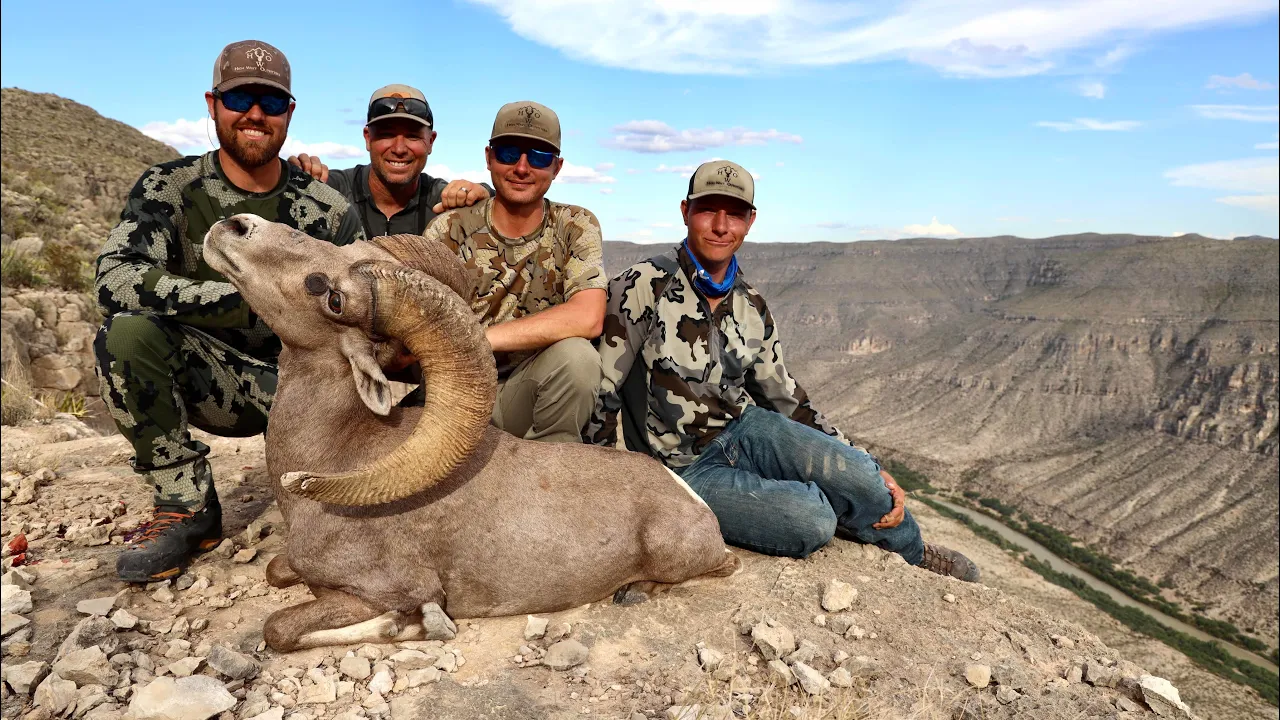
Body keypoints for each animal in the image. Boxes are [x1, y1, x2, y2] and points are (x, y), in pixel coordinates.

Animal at [202, 214, 739, 652]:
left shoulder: (387, 589)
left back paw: (632, 591)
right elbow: (275, 571)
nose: (234, 226)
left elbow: (279, 628)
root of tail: (693, 501)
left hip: (679, 557)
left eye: (329, 294)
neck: (340, 454)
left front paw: (419, 625)